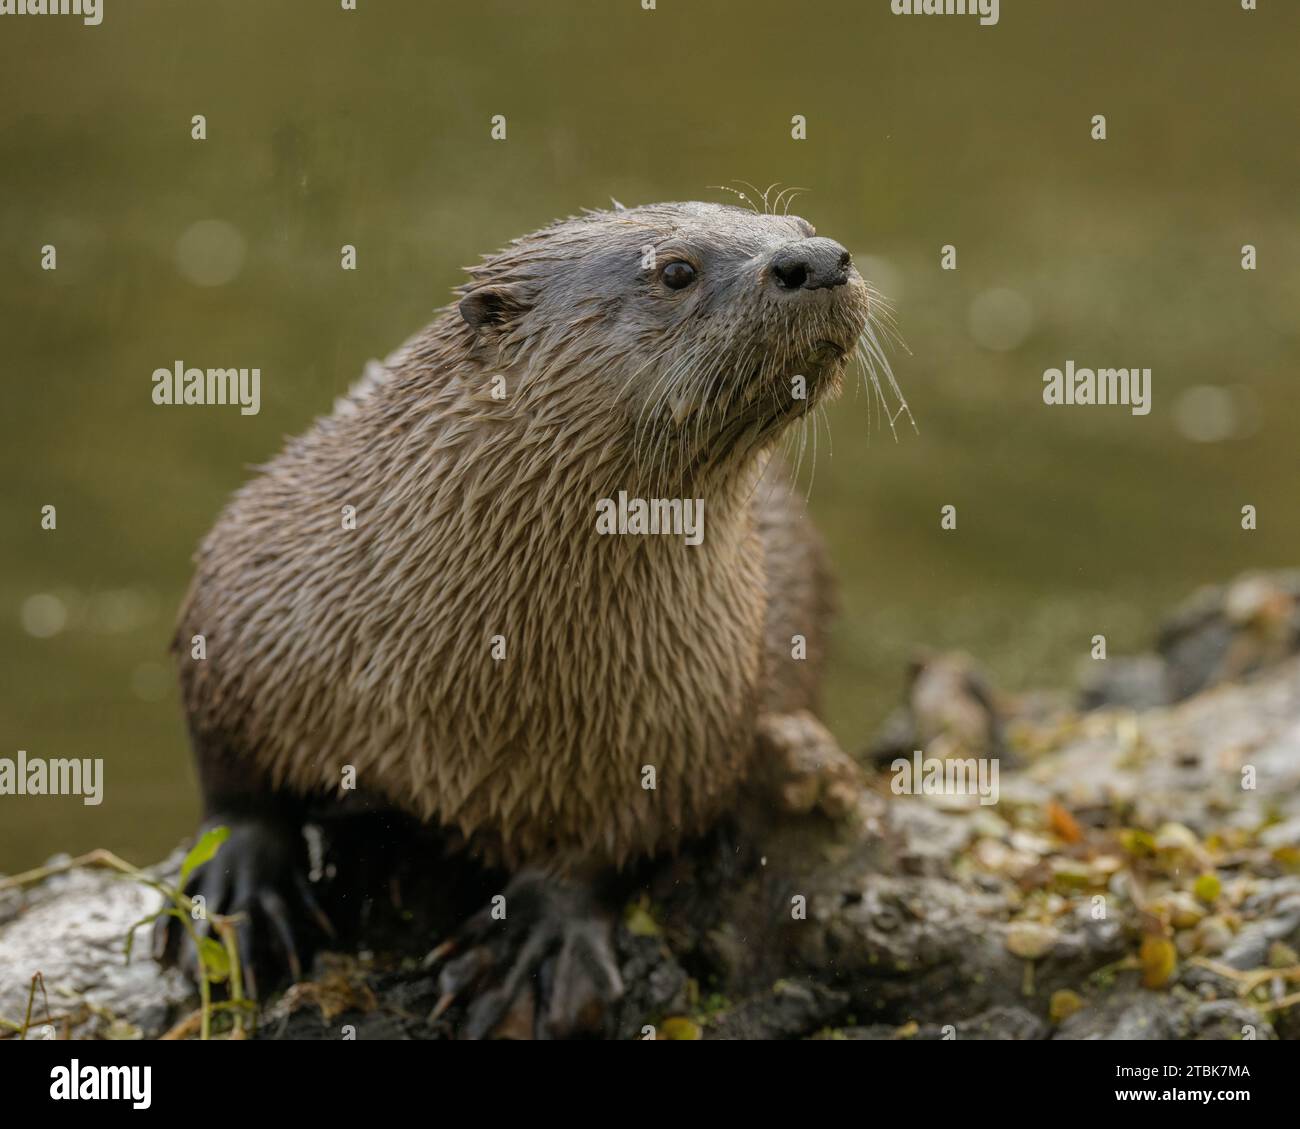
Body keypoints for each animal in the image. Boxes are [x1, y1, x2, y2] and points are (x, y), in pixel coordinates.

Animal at [162, 200, 890, 1037]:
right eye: (676, 269)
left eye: (797, 223)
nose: (819, 259)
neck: (476, 682)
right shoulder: (248, 590)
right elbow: (232, 779)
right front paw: (240, 888)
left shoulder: (694, 709)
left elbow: (621, 836)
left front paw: (532, 944)